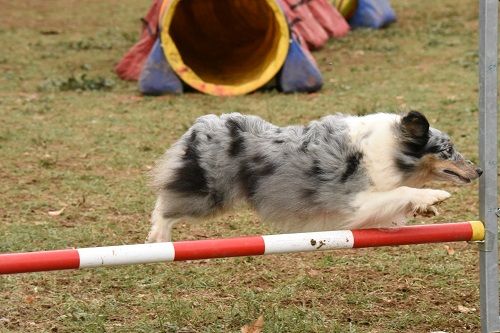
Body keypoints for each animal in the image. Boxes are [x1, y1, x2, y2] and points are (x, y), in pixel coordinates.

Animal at [146, 111, 482, 241]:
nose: (479, 170)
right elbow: (400, 192)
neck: (391, 149)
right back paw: (158, 235)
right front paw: (432, 195)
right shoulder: (355, 202)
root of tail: (201, 124)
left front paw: (424, 207)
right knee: (166, 202)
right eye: (448, 150)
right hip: (210, 195)